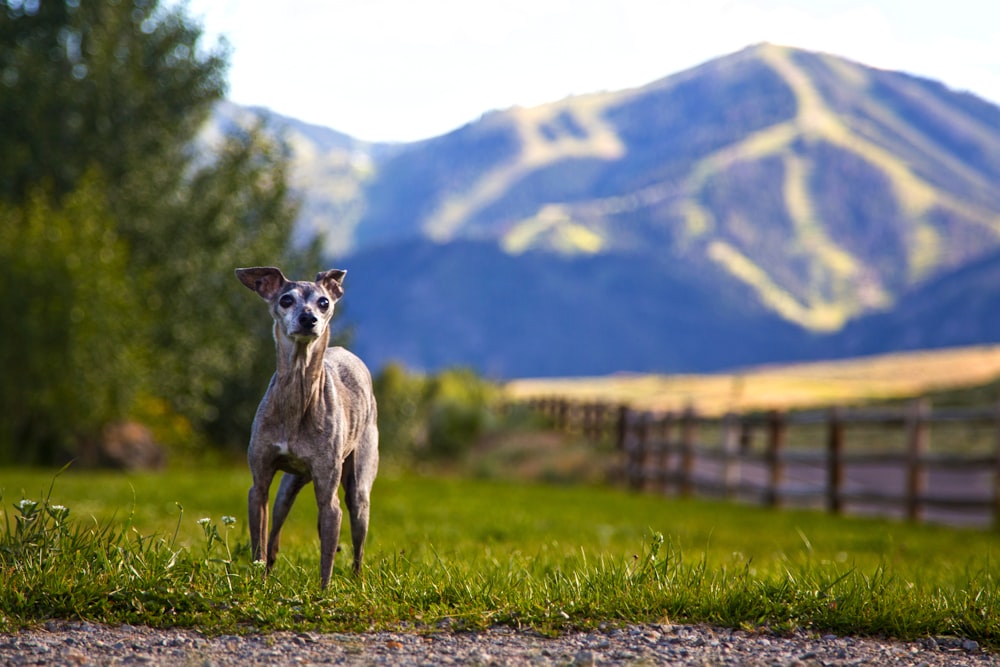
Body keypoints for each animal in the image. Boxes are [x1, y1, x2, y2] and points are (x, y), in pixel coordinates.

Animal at [234, 266, 378, 588]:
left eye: (324, 302)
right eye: (286, 299)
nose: (308, 318)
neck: (296, 399)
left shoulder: (329, 499)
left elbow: (327, 559)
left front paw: (323, 592)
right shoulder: (258, 487)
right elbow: (259, 544)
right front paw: (258, 584)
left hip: (358, 490)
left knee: (358, 545)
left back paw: (357, 582)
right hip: (287, 489)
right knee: (275, 535)